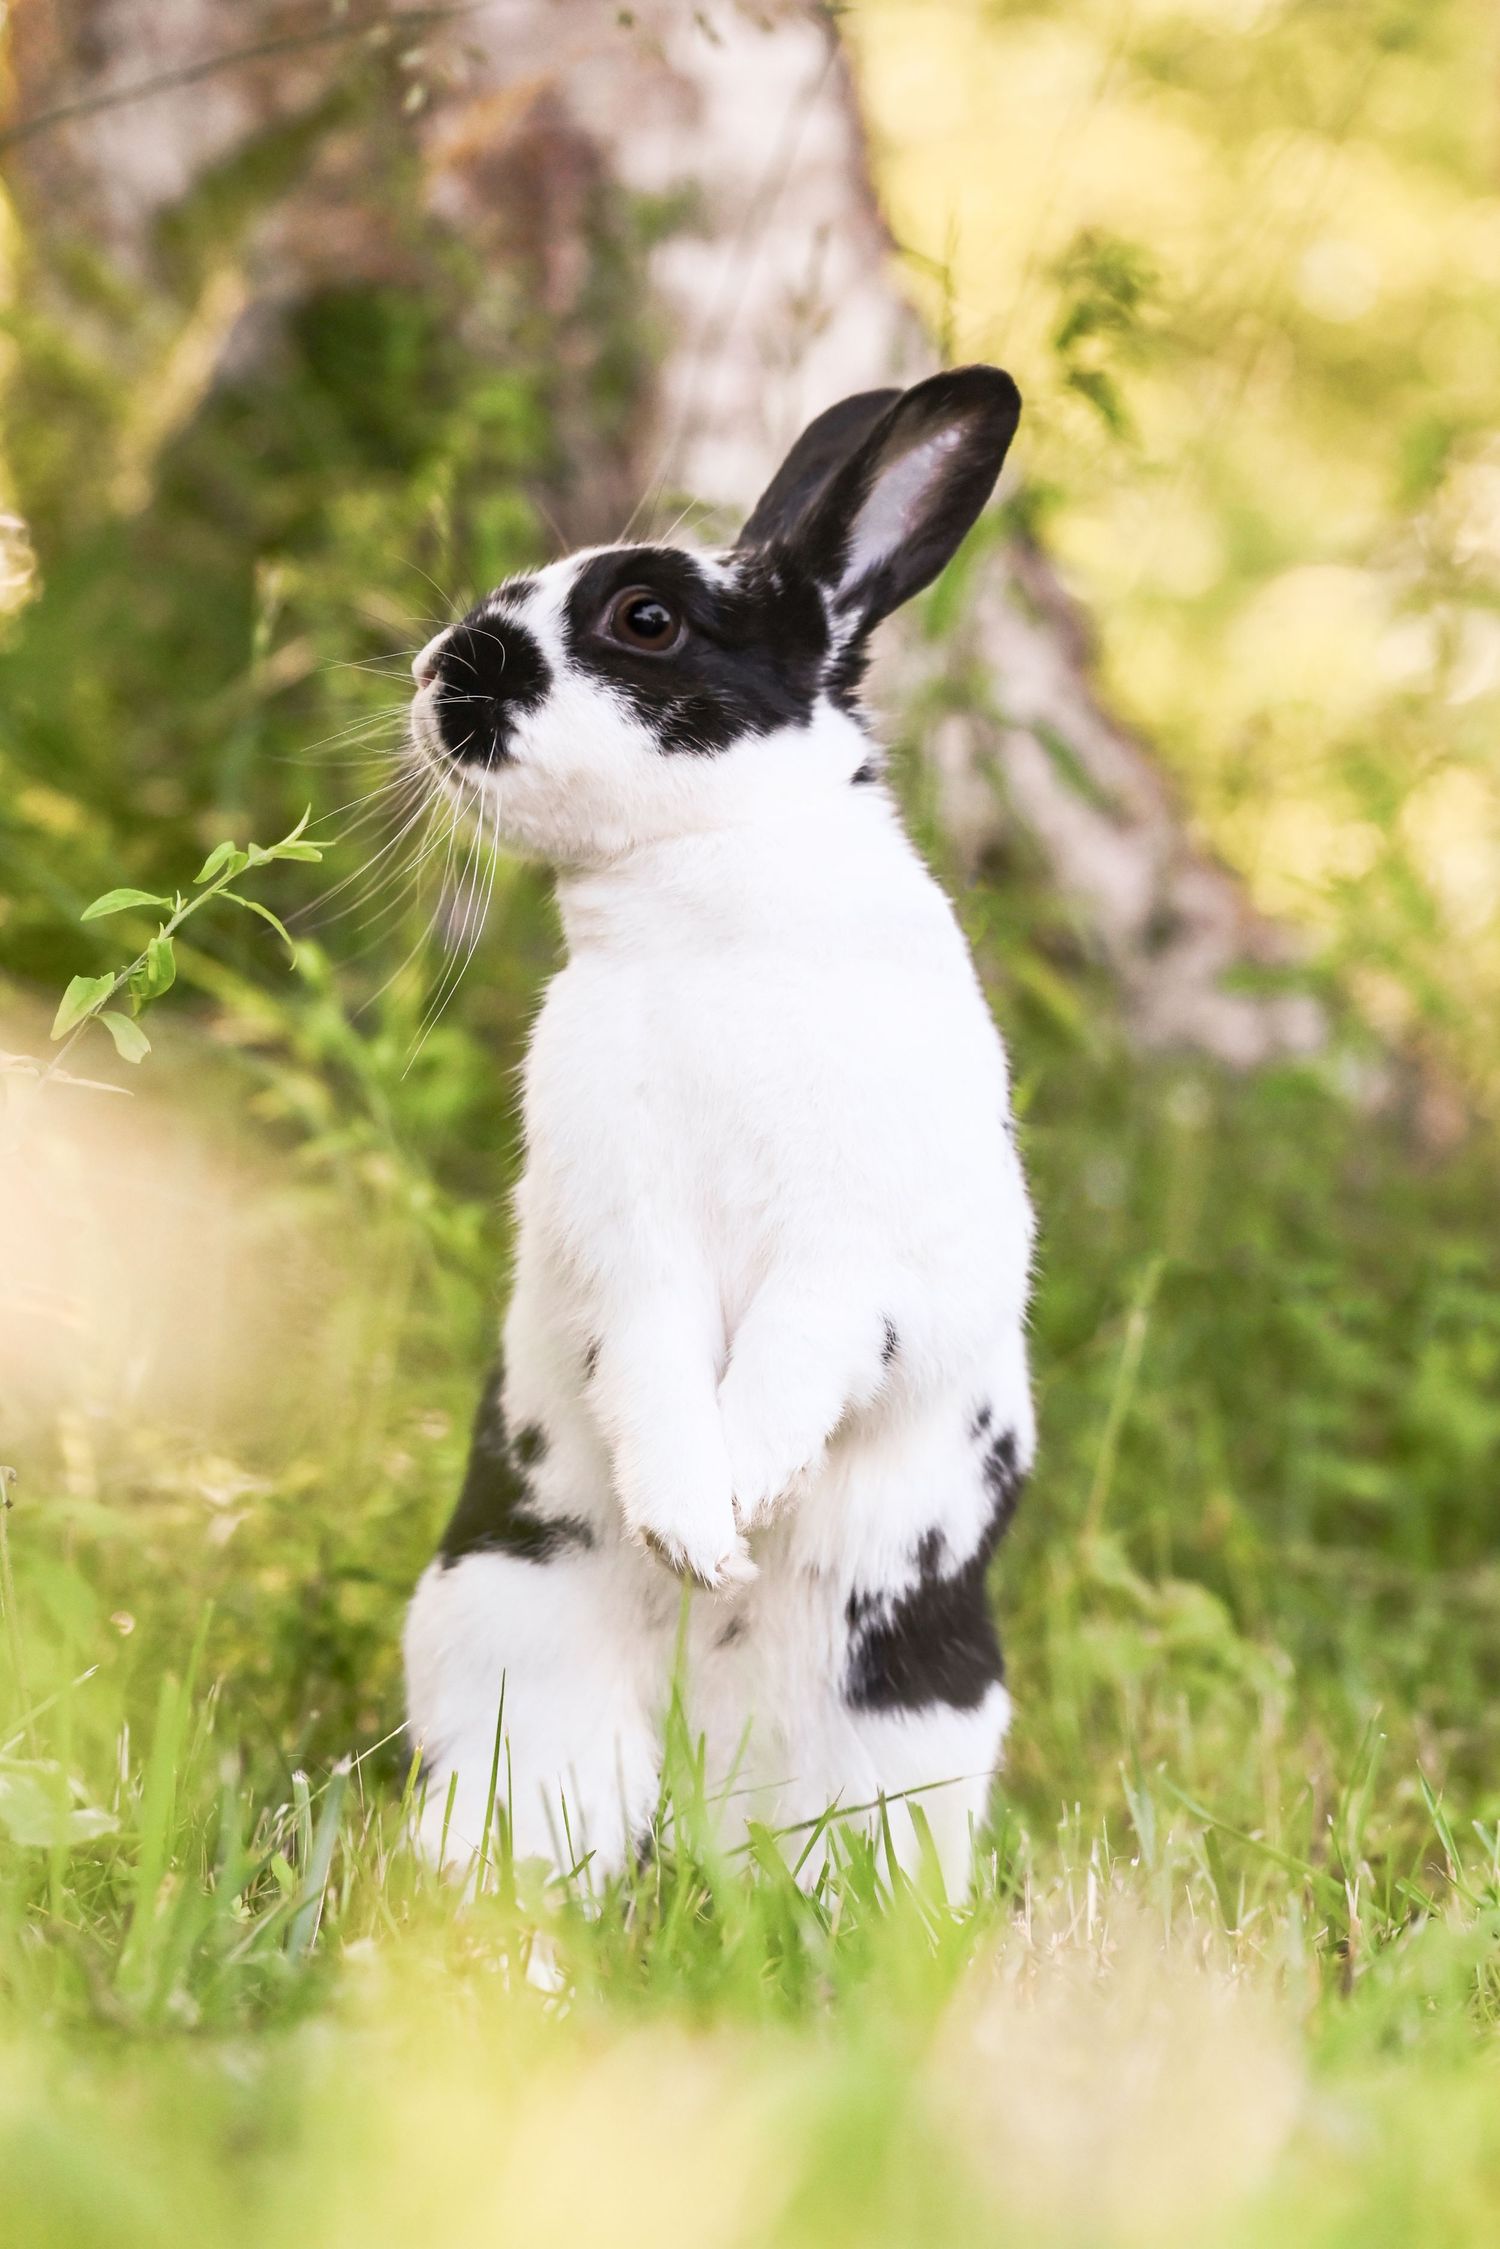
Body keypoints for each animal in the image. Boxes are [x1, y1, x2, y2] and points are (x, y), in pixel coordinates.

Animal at [401, 365, 1036, 1899]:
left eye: (646, 618)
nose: (440, 671)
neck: (715, 913)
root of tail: (708, 1767)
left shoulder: (861, 1255)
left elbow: (800, 1355)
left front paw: (733, 1508)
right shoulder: (623, 1242)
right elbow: (653, 1368)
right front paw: (695, 1528)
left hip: (910, 1732)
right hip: (506, 1656)